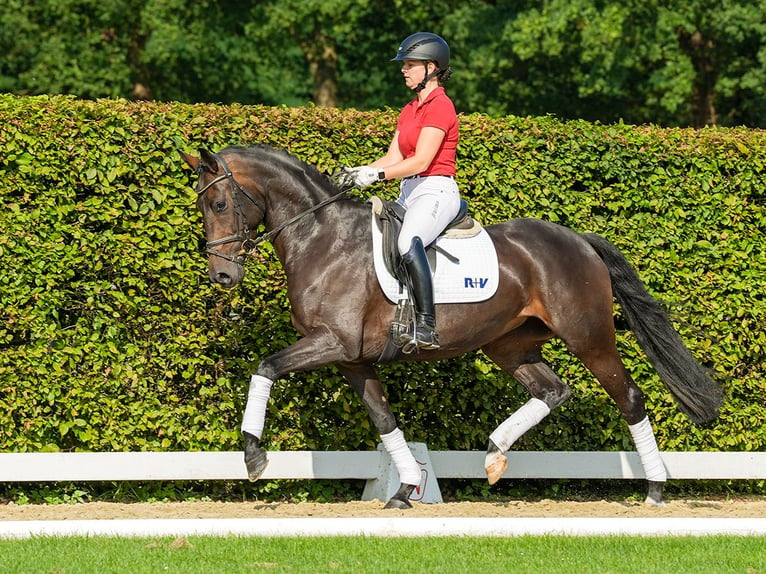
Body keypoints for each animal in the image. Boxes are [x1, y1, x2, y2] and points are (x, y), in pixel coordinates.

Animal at [183, 146, 724, 510]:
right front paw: (405, 489)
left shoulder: (330, 342)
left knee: (629, 398)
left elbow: (266, 367)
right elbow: (384, 419)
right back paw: (494, 455)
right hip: (510, 345)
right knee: (553, 391)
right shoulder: (351, 358)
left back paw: (654, 490)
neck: (323, 239)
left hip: (589, 338)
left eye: (220, 205)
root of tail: (579, 240)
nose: (222, 277)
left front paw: (254, 456)